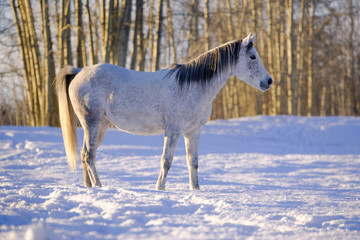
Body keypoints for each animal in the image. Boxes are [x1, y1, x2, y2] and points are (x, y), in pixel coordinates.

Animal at [54, 32, 272, 189]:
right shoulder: (173, 131)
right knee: (89, 155)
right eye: (253, 56)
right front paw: (160, 189)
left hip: (101, 125)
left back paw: (89, 187)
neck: (191, 87)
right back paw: (100, 186)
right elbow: (166, 161)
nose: (268, 81)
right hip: (92, 123)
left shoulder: (193, 133)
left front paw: (196, 191)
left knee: (85, 154)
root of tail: (79, 71)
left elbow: (193, 162)